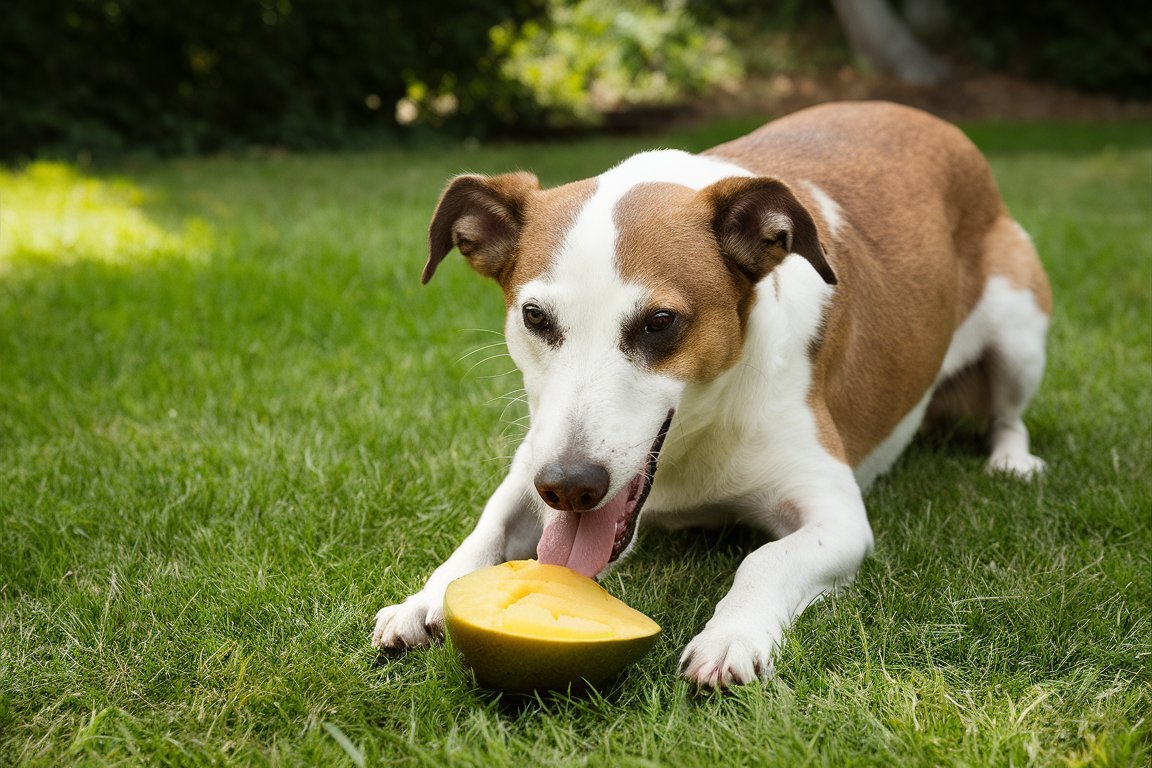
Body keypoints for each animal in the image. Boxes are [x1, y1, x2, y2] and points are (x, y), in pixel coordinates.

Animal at [370, 101, 1055, 690]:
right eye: (535, 317)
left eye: (660, 322)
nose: (570, 486)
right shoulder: (533, 459)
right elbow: (485, 528)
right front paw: (426, 598)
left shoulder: (838, 516)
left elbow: (767, 560)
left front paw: (732, 636)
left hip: (1020, 330)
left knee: (1009, 413)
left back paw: (1011, 459)